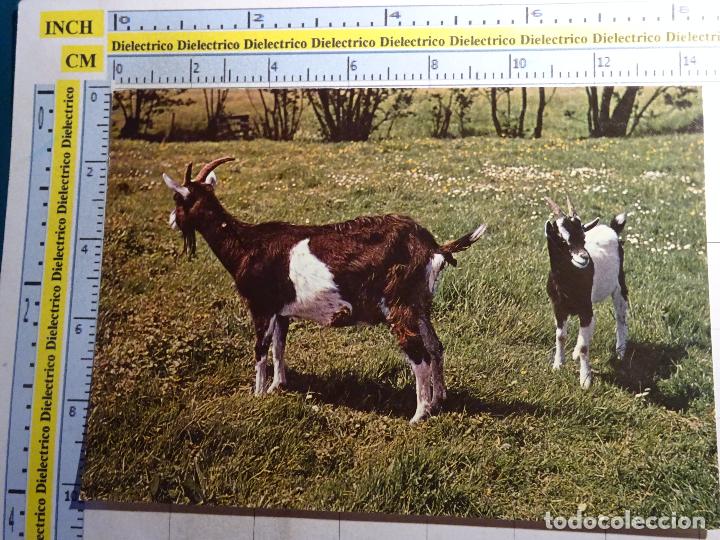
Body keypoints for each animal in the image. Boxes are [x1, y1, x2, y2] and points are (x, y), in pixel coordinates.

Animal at [163, 157, 486, 423]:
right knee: (436, 347)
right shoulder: (282, 311)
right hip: (420, 305)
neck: (246, 246)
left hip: (400, 305)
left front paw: (257, 395)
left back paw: (419, 415)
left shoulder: (261, 306)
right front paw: (277, 386)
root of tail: (432, 246)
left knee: (419, 356)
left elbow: (260, 350)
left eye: (178, 199)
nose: (170, 220)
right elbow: (280, 346)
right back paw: (438, 400)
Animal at [544, 195, 628, 389]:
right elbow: (560, 336)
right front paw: (558, 365)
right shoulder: (558, 308)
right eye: (561, 239)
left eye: (583, 237)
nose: (584, 258)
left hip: (619, 286)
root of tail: (611, 228)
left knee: (620, 317)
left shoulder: (584, 308)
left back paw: (620, 351)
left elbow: (584, 346)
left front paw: (585, 379)